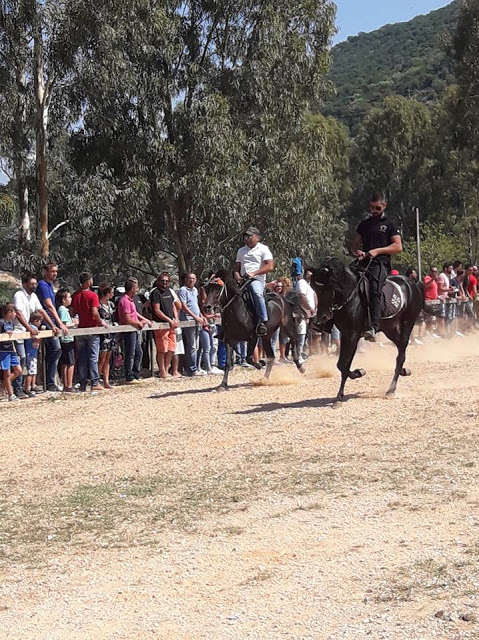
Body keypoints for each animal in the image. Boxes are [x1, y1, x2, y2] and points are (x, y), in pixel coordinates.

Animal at [310, 258, 426, 402]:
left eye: (328, 288)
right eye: (315, 289)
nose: (323, 317)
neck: (351, 297)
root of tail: (413, 284)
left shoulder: (352, 334)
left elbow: (343, 363)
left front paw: (343, 392)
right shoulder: (345, 334)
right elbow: (342, 364)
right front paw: (353, 378)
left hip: (407, 323)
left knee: (401, 355)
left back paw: (391, 389)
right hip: (389, 328)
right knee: (400, 349)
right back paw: (404, 371)